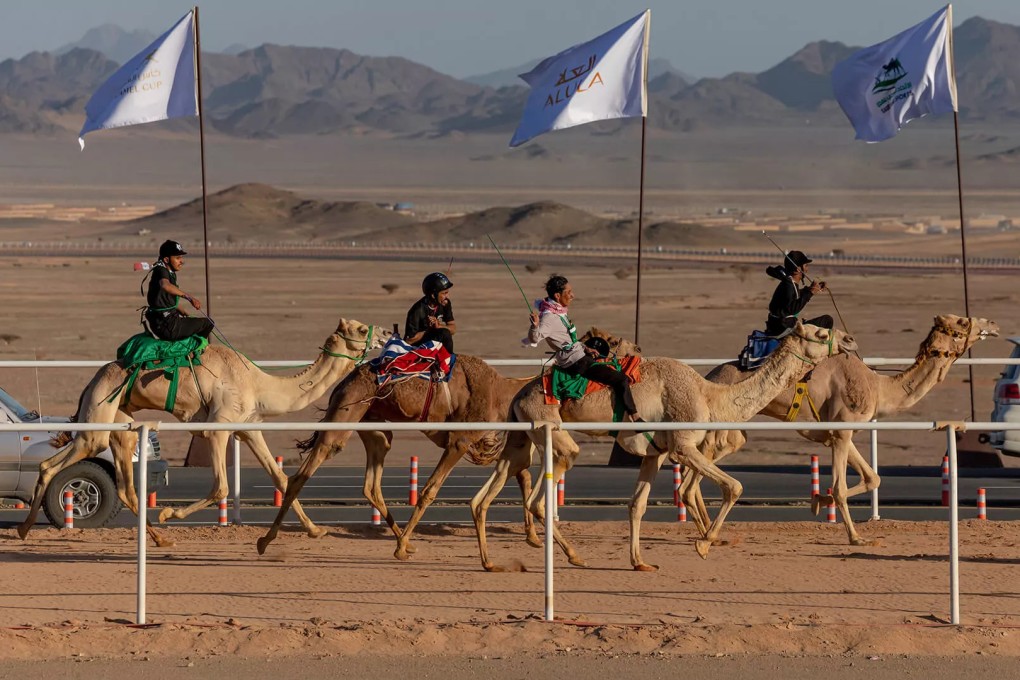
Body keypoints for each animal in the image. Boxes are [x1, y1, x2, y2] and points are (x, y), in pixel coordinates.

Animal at [18, 318, 391, 546]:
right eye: (361, 329)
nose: (388, 334)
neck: (259, 384)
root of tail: (93, 380)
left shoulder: (250, 428)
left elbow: (282, 478)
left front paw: (316, 529)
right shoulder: (218, 428)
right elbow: (222, 486)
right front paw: (170, 513)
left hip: (120, 420)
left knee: (124, 485)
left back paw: (159, 539)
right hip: (98, 415)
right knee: (51, 464)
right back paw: (23, 529)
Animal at [256, 328, 640, 559]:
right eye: (611, 341)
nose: (638, 348)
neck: (503, 391)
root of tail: (345, 381)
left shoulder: (507, 438)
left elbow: (523, 475)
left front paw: (532, 537)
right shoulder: (460, 440)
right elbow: (429, 490)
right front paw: (402, 547)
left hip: (374, 426)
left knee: (370, 483)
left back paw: (400, 537)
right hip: (346, 416)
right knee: (303, 473)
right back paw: (267, 540)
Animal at [470, 321, 858, 572]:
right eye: (821, 333)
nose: (851, 340)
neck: (710, 396)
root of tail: (521, 392)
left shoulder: (655, 453)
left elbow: (637, 505)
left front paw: (640, 562)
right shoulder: (684, 446)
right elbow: (734, 486)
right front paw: (703, 545)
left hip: (523, 436)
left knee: (486, 494)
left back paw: (491, 562)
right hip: (549, 426)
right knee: (540, 497)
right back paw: (574, 555)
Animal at [685, 314, 999, 546]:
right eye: (963, 322)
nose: (993, 325)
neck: (878, 387)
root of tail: (710, 376)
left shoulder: (843, 433)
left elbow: (872, 478)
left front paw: (817, 500)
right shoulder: (841, 432)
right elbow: (840, 487)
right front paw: (856, 537)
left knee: (693, 472)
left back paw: (707, 531)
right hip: (725, 426)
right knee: (695, 471)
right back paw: (707, 532)